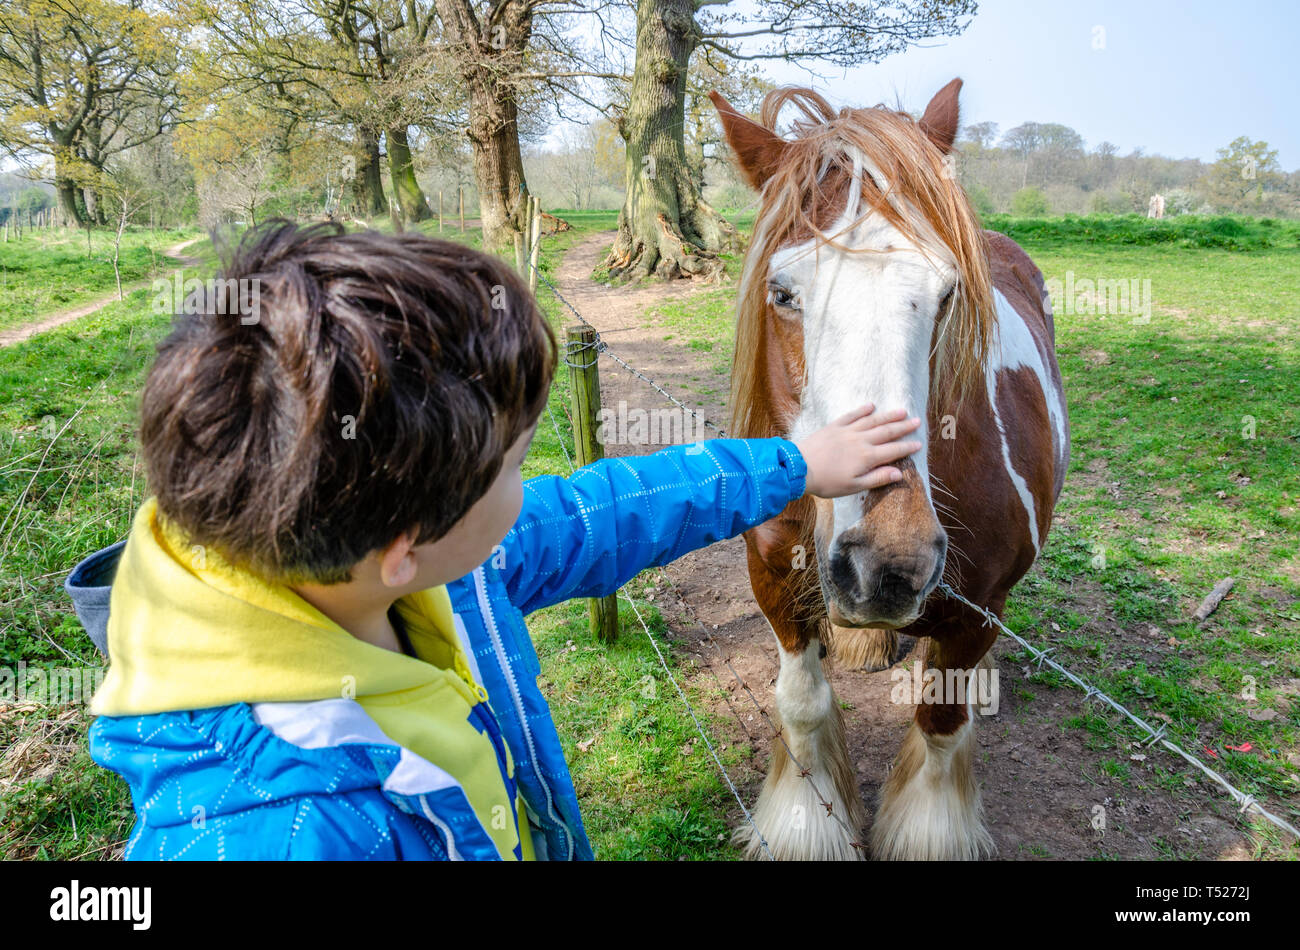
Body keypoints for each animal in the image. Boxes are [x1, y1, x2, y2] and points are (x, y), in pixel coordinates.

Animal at [712, 77, 1066, 857]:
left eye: (947, 294)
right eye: (782, 293)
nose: (889, 562)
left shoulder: (969, 619)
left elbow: (940, 727)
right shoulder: (773, 582)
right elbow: (802, 707)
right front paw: (807, 825)